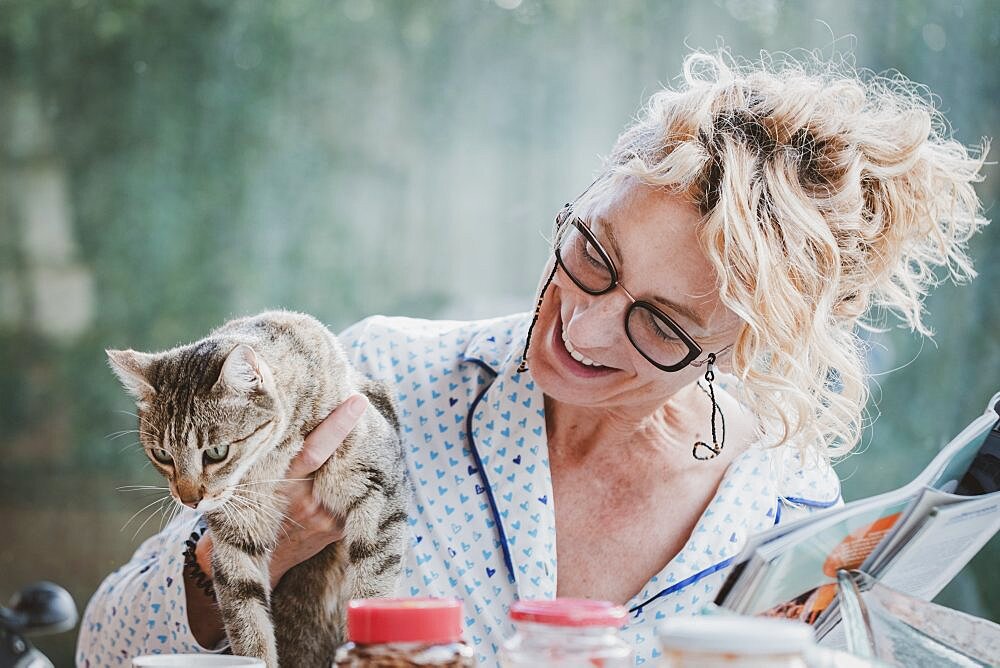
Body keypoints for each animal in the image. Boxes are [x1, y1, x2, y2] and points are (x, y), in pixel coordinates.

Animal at [107, 310, 408, 664]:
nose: (190, 499)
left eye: (216, 452)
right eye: (162, 455)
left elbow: (372, 589)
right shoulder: (235, 536)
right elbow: (247, 619)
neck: (270, 463)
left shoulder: (379, 489)